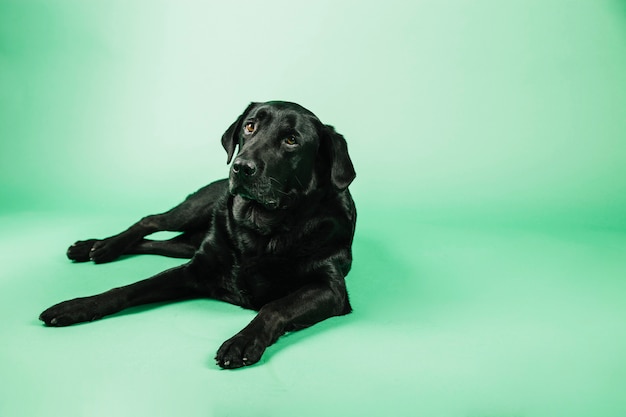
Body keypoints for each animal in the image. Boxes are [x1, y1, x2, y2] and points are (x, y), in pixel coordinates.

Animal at [40, 101, 356, 368]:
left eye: (291, 140)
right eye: (250, 126)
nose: (241, 167)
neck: (260, 229)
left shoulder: (330, 289)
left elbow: (273, 307)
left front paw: (242, 341)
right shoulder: (195, 269)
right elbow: (130, 288)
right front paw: (77, 306)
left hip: (188, 243)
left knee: (154, 243)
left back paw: (95, 248)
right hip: (195, 209)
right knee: (150, 221)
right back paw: (98, 247)